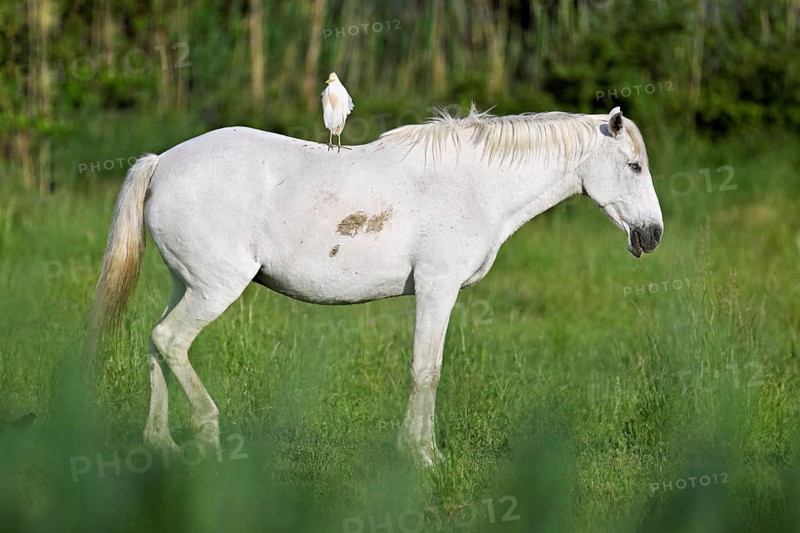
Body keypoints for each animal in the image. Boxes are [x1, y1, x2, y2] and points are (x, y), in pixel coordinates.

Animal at [91, 105, 663, 467]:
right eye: (634, 166)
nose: (653, 235)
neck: (474, 184)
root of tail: (162, 162)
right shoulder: (437, 289)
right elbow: (426, 371)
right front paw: (422, 455)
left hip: (185, 285)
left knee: (155, 345)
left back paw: (160, 444)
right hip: (215, 289)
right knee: (171, 342)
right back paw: (207, 434)